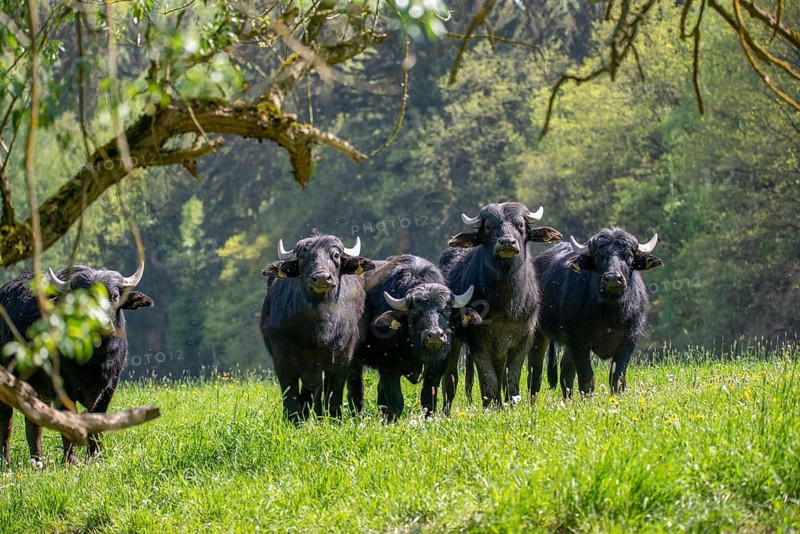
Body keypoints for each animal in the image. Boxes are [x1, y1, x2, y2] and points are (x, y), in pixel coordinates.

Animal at [0, 263, 153, 465]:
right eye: (78, 299)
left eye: (114, 296)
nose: (101, 325)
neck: (93, 362)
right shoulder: (62, 389)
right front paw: (70, 461)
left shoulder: (110, 386)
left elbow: (97, 422)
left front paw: (95, 457)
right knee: (6, 424)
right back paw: (7, 461)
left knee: (33, 425)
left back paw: (38, 462)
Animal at [260, 234, 375, 422]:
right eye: (302, 257)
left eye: (336, 255)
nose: (321, 278)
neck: (316, 333)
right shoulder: (282, 360)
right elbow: (291, 399)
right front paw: (294, 421)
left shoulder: (340, 360)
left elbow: (333, 398)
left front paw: (335, 421)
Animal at [348, 255, 479, 421]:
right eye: (416, 312)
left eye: (446, 311)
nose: (435, 335)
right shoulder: (388, 367)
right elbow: (396, 401)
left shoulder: (437, 366)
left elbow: (428, 399)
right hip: (353, 361)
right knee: (356, 390)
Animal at [439, 202, 562, 411]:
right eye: (490, 226)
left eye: (520, 225)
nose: (507, 243)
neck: (506, 303)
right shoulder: (477, 340)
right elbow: (488, 379)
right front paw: (491, 405)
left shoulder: (523, 338)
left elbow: (511, 378)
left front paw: (511, 404)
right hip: (455, 340)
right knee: (450, 379)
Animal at [527, 228, 663, 399]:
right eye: (599, 256)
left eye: (629, 256)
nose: (613, 278)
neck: (610, 313)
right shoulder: (578, 340)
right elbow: (587, 379)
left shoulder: (629, 340)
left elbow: (617, 379)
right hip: (539, 334)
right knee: (535, 373)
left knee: (565, 370)